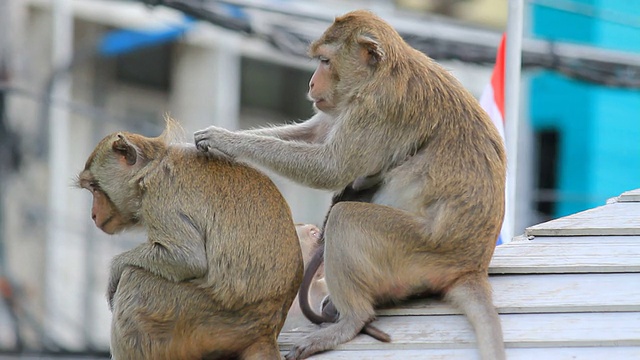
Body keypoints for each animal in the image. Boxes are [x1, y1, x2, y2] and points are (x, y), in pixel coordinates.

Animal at [77, 120, 302, 360]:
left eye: (94, 187)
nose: (93, 214)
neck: (151, 167)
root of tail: (267, 329)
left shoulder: (160, 195)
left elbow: (187, 259)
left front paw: (115, 269)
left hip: (203, 318)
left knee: (134, 278)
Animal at [194, 8, 504, 360]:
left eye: (325, 61)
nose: (311, 82)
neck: (382, 73)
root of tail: (471, 266)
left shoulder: (378, 106)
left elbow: (330, 168)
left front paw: (223, 140)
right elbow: (316, 134)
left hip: (420, 250)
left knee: (346, 218)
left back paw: (352, 320)